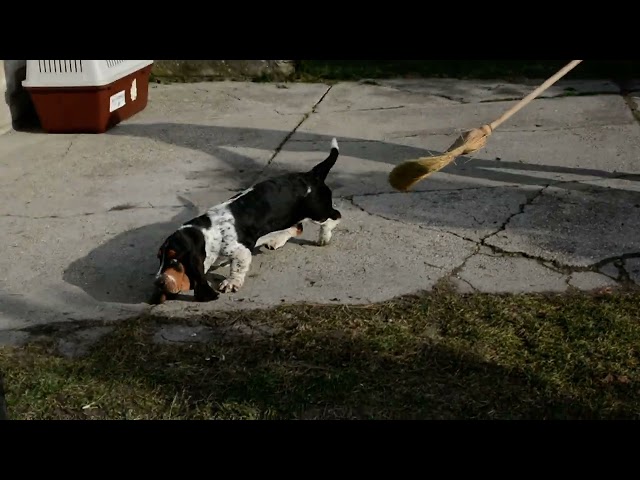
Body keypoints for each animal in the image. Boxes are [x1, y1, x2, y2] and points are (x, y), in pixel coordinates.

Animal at [153, 139, 342, 302]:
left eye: (174, 259)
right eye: (159, 258)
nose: (158, 282)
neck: (209, 232)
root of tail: (312, 175)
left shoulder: (241, 251)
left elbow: (237, 267)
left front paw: (231, 283)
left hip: (318, 212)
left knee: (334, 217)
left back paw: (324, 237)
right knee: (297, 227)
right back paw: (276, 240)